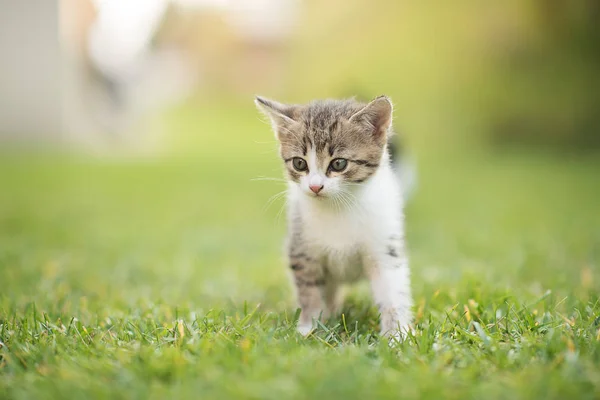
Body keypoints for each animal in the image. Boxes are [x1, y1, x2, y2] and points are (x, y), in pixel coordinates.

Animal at [255, 95, 414, 340]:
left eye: (339, 163)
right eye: (299, 163)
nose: (315, 186)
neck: (338, 206)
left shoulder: (385, 248)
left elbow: (393, 294)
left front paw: (397, 335)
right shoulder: (303, 249)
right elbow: (310, 292)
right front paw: (309, 328)